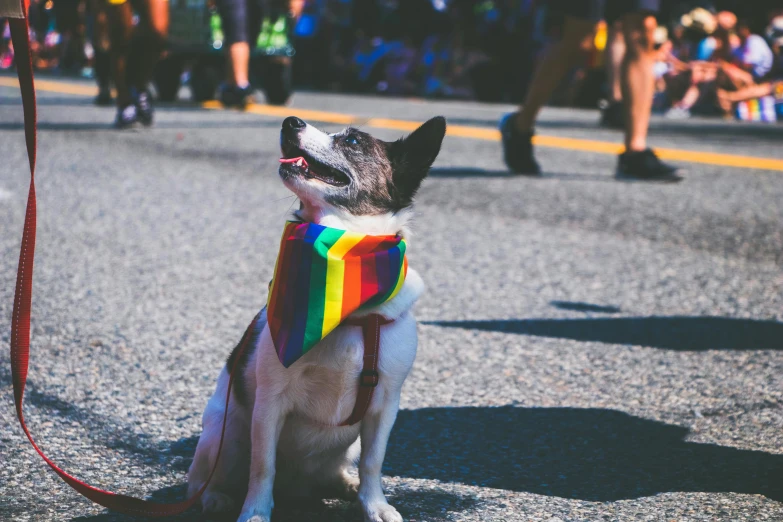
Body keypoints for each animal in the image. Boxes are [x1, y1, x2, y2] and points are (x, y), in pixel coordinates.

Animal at [187, 115, 448, 520]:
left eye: (353, 141)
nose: (289, 121)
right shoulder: (269, 405)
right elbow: (262, 465)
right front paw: (256, 511)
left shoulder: (384, 407)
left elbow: (373, 462)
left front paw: (374, 504)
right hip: (225, 433)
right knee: (203, 478)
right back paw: (214, 498)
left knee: (340, 467)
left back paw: (345, 484)